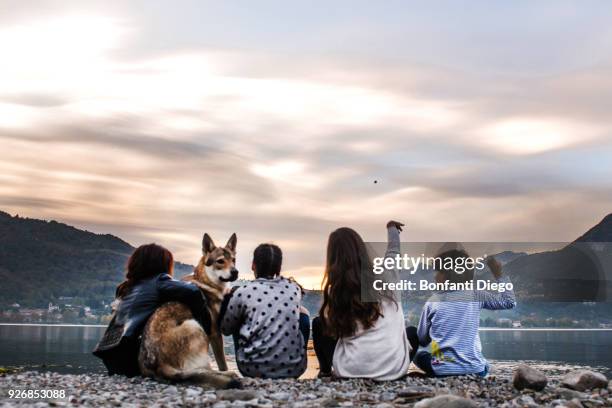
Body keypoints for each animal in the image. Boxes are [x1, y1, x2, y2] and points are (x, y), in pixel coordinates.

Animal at [139, 234, 241, 388]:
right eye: (220, 261)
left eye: (233, 260)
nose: (235, 272)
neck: (207, 282)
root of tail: (159, 365)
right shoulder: (215, 332)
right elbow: (222, 362)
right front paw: (226, 370)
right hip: (195, 326)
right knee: (199, 370)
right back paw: (229, 375)